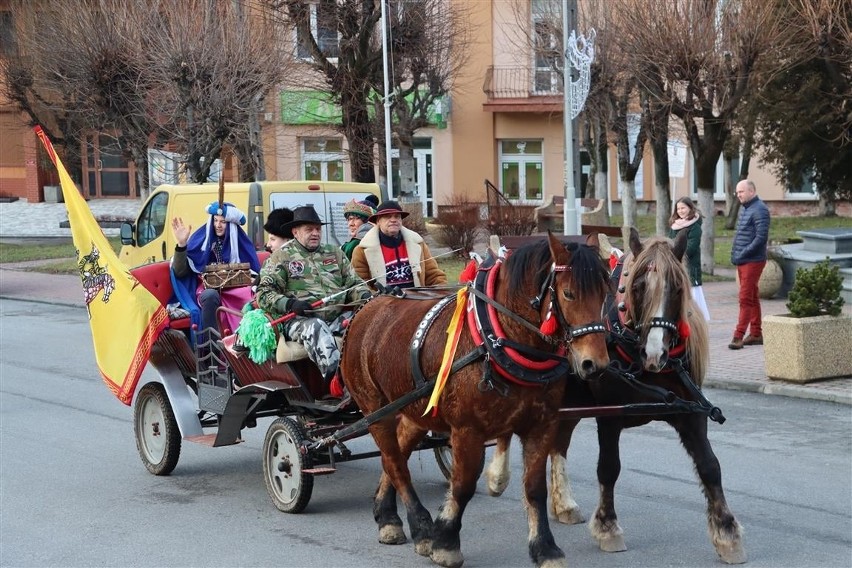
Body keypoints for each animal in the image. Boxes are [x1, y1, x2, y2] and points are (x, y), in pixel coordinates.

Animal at [340, 233, 612, 564]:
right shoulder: (467, 431)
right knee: (395, 463)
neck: (497, 339)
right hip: (375, 409)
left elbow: (534, 488)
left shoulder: (541, 425)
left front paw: (545, 548)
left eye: (606, 292)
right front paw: (446, 540)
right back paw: (419, 526)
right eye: (569, 293)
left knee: (396, 455)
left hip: (415, 409)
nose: (594, 364)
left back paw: (387, 515)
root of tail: (365, 309)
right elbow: (463, 485)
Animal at [486, 229, 744, 564]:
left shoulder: (690, 413)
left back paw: (563, 503)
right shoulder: (610, 415)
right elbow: (609, 468)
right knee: (508, 427)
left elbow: (710, 466)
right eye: (638, 287)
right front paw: (608, 527)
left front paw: (727, 533)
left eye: (677, 288)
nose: (655, 354)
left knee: (558, 443)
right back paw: (498, 476)